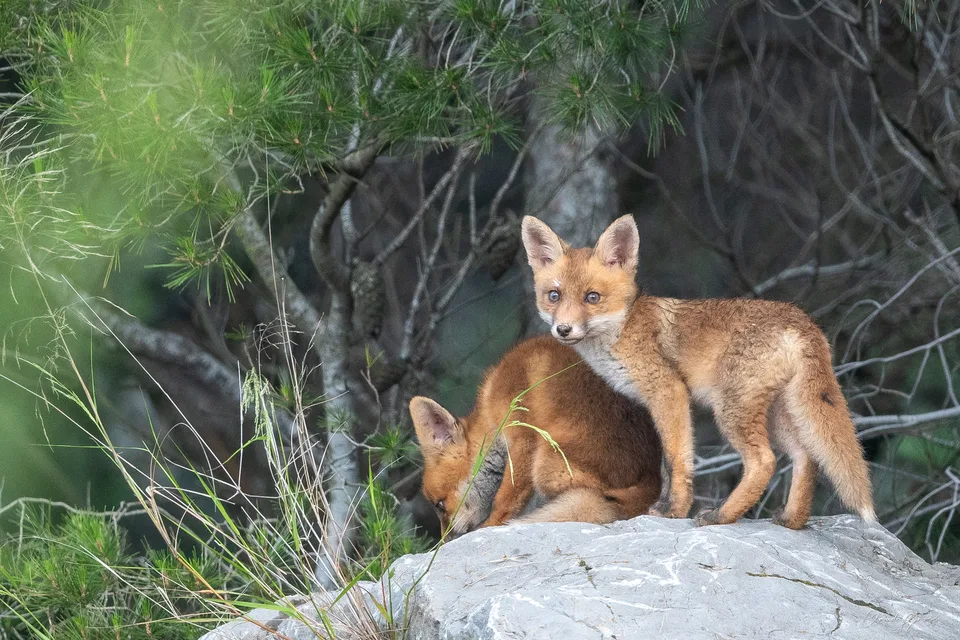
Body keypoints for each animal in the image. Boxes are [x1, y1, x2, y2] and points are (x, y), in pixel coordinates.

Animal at [409, 336, 662, 539]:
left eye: (439, 505)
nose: (441, 545)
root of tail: (651, 482)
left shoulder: (523, 436)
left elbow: (505, 499)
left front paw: (490, 527)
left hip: (544, 464)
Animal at [520, 214, 876, 530]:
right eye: (554, 296)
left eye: (592, 297)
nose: (563, 330)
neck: (623, 328)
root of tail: (803, 319)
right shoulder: (663, 403)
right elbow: (667, 464)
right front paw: (662, 507)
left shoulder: (669, 391)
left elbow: (677, 460)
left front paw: (675, 510)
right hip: (778, 412)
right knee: (805, 456)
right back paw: (793, 520)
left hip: (732, 409)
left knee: (765, 462)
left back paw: (722, 516)